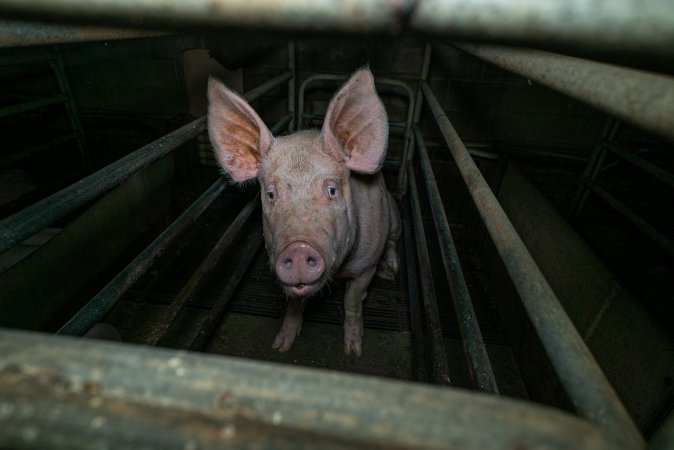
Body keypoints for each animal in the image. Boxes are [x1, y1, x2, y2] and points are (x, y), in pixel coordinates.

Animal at [207, 68, 400, 356]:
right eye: (271, 194)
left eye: (332, 190)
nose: (298, 248)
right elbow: (295, 304)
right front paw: (281, 346)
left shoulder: (366, 267)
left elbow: (352, 302)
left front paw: (353, 350)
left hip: (394, 217)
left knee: (392, 241)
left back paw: (391, 271)